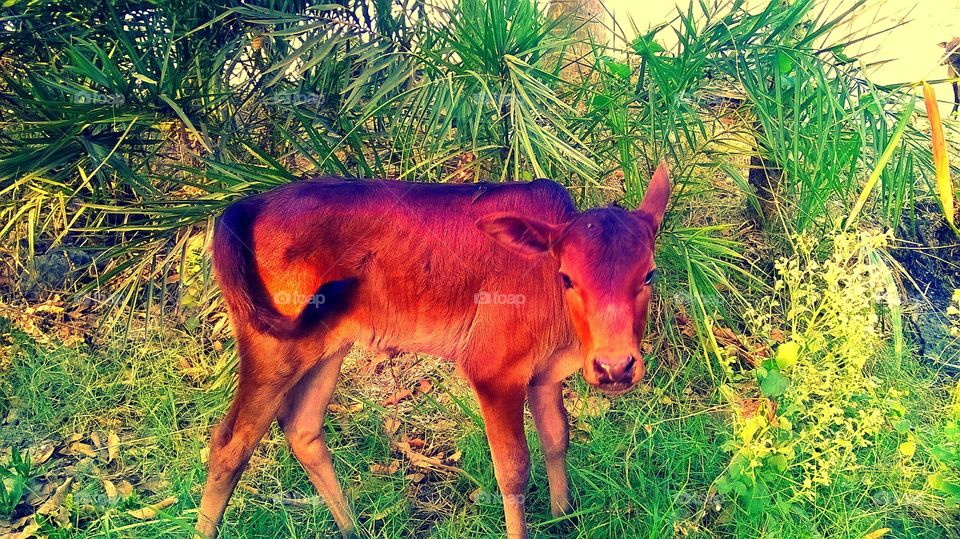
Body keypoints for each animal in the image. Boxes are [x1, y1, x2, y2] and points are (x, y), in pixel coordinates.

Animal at [195, 163, 671, 538]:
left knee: (303, 429)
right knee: (230, 443)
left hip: (327, 344)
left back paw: (352, 529)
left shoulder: (544, 372)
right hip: (272, 347)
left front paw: (562, 518)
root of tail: (242, 208)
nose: (615, 367)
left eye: (648, 274)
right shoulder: (493, 370)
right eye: (568, 277)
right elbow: (514, 469)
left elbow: (557, 439)